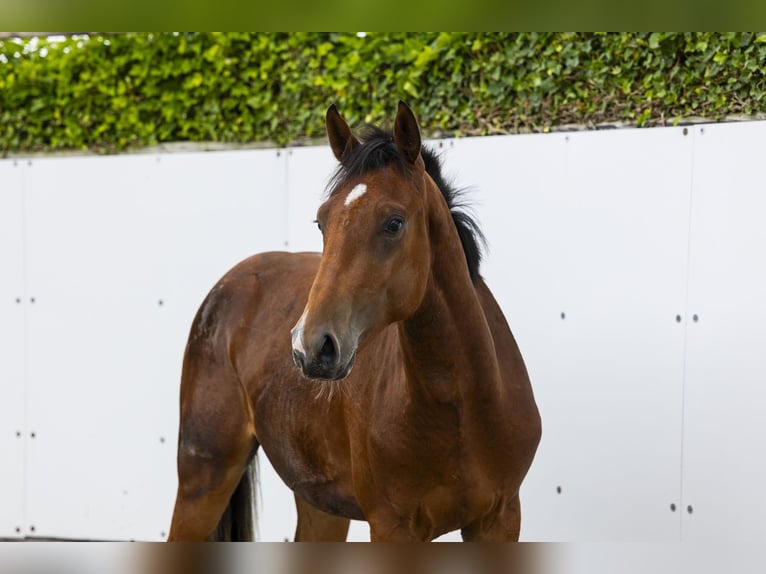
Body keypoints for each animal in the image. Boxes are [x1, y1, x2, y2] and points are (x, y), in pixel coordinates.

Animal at [167, 102, 541, 542]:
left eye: (394, 223)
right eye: (321, 222)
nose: (311, 347)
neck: (461, 407)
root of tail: (229, 285)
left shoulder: (499, 520)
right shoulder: (392, 527)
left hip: (319, 503)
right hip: (203, 478)